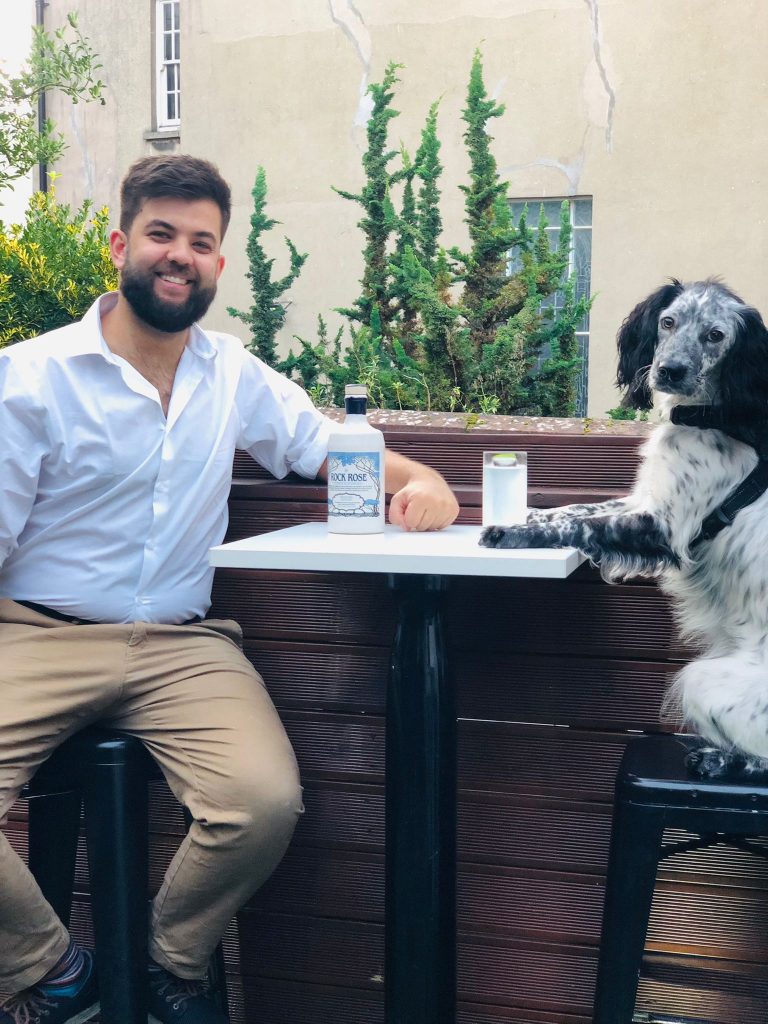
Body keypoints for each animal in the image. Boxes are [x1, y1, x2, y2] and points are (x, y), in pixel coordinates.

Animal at [481, 280, 768, 774]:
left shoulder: (666, 527)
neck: (709, 414)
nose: (669, 370)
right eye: (668, 322)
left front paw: (510, 533)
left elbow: (582, 526)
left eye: (715, 335)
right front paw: (528, 515)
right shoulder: (641, 501)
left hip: (704, 680)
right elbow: (575, 511)